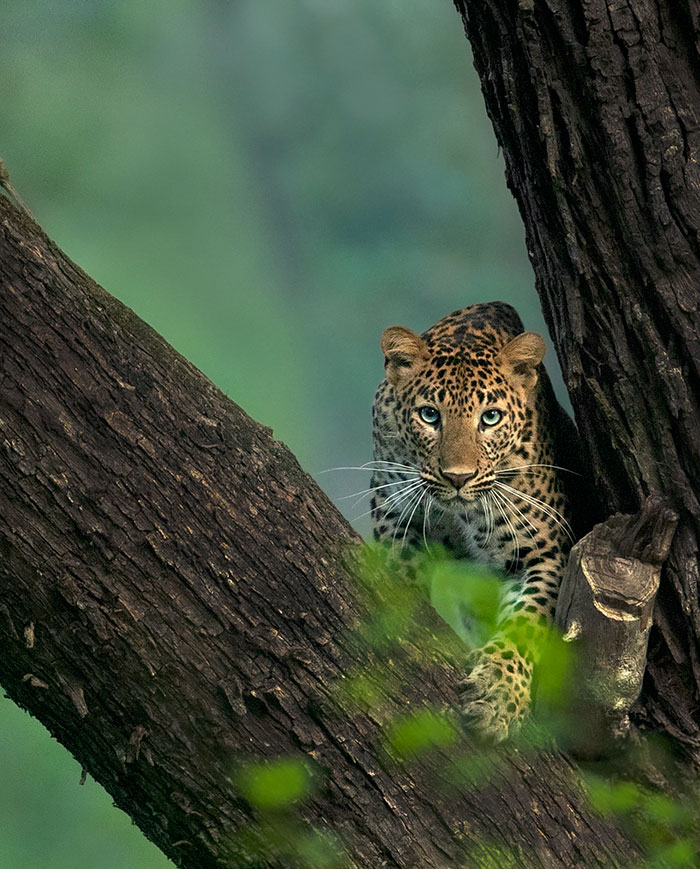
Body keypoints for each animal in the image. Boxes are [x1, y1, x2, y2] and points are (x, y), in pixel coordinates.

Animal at [370, 302, 590, 742]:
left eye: (490, 418)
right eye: (429, 415)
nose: (458, 477)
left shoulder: (544, 552)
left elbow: (525, 623)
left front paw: (498, 698)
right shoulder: (394, 516)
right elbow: (400, 578)